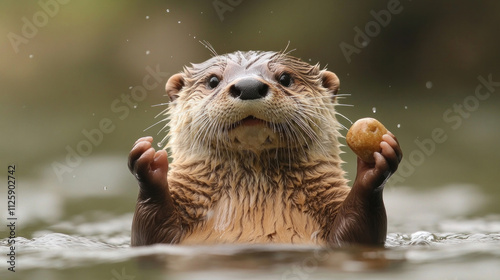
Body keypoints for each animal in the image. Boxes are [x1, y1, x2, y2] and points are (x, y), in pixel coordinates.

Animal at [128, 50, 402, 247]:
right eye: (213, 80)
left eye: (285, 78)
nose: (248, 86)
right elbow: (148, 233)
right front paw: (148, 165)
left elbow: (358, 232)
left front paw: (373, 166)